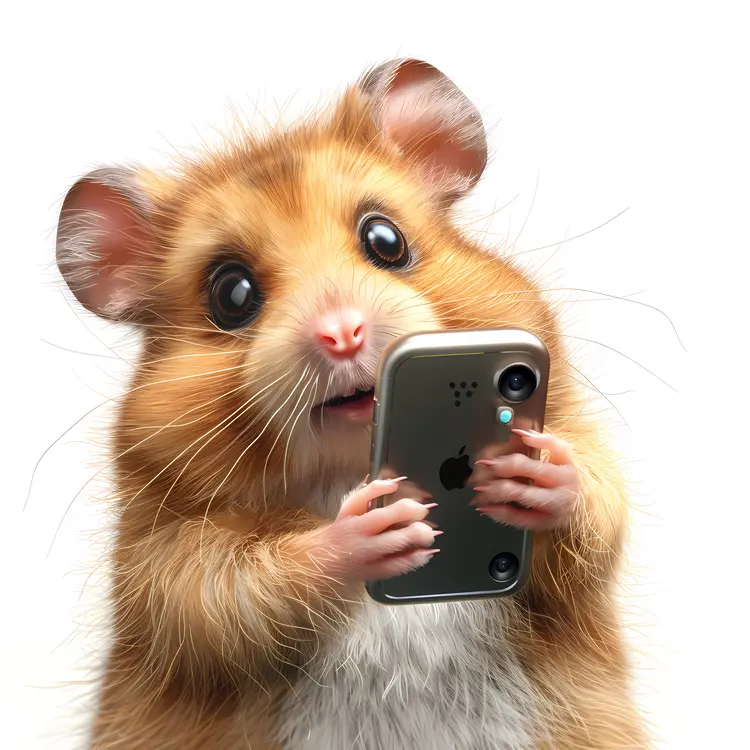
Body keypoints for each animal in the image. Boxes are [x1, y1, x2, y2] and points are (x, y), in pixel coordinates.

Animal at [55, 59, 648, 749]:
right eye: (231, 294)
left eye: (385, 240)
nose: (343, 334)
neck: (345, 467)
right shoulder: (162, 557)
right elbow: (229, 588)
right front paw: (375, 526)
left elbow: (597, 506)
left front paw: (529, 473)